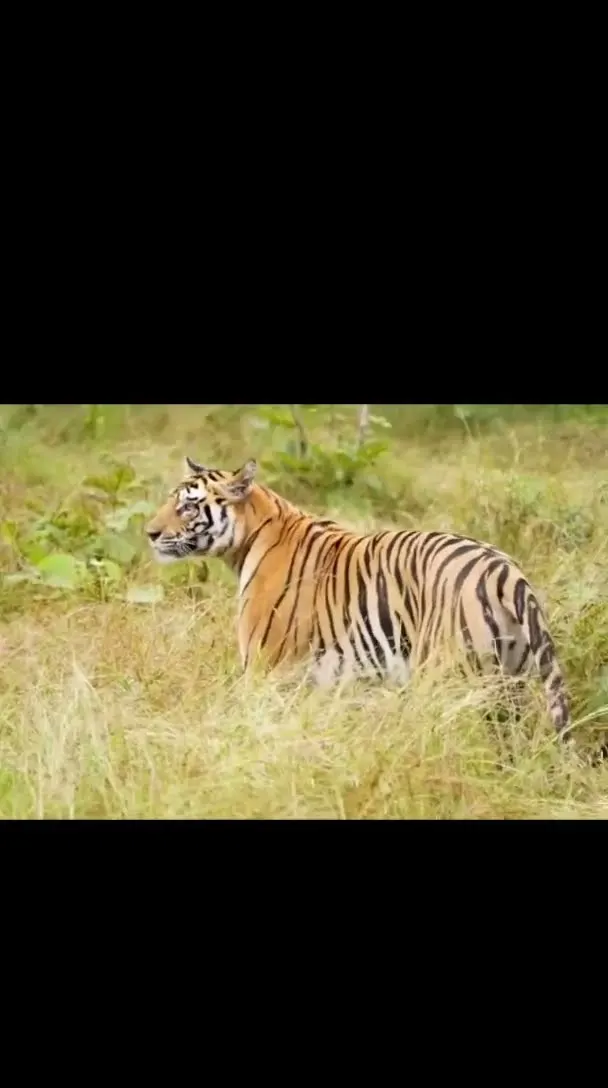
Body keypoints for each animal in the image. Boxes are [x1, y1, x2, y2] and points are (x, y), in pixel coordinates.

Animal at [146, 456, 572, 741]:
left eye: (187, 505)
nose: (149, 533)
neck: (248, 537)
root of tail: (505, 571)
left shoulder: (264, 669)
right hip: (509, 686)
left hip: (448, 680)